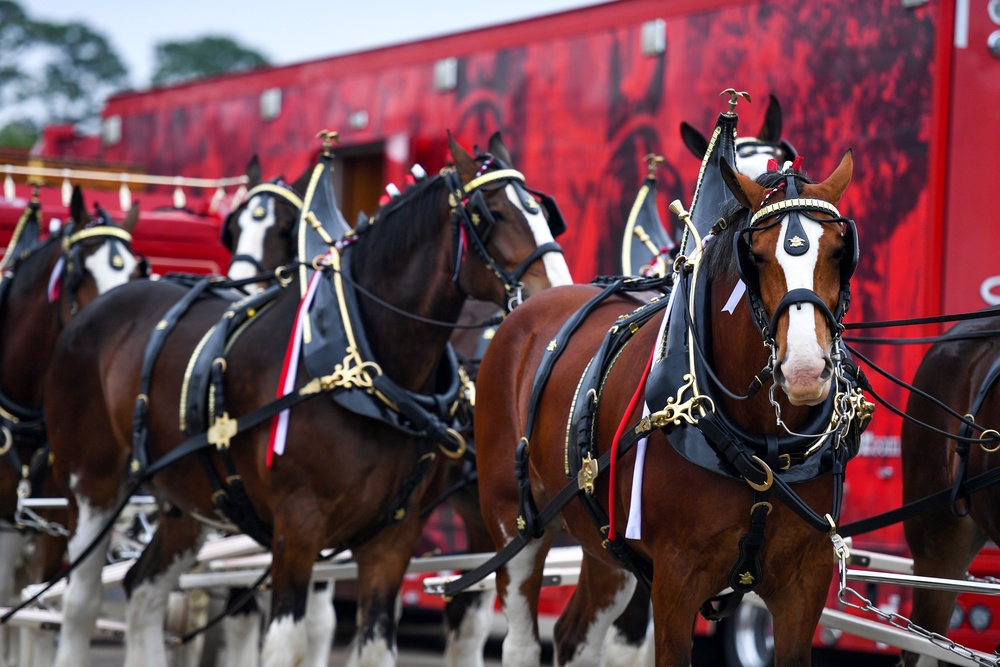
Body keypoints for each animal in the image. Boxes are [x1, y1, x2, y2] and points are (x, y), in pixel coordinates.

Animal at [43, 132, 572, 667]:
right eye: (492, 214)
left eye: (545, 212)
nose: (557, 295)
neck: (363, 365)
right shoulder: (297, 527)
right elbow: (286, 641)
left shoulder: (392, 539)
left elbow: (375, 648)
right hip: (93, 483)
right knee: (78, 601)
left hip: (187, 498)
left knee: (142, 591)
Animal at [472, 153, 864, 667]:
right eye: (756, 255)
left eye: (840, 251)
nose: (803, 370)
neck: (761, 448)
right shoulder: (676, 580)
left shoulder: (805, 582)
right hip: (513, 522)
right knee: (520, 638)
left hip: (607, 543)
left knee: (576, 635)